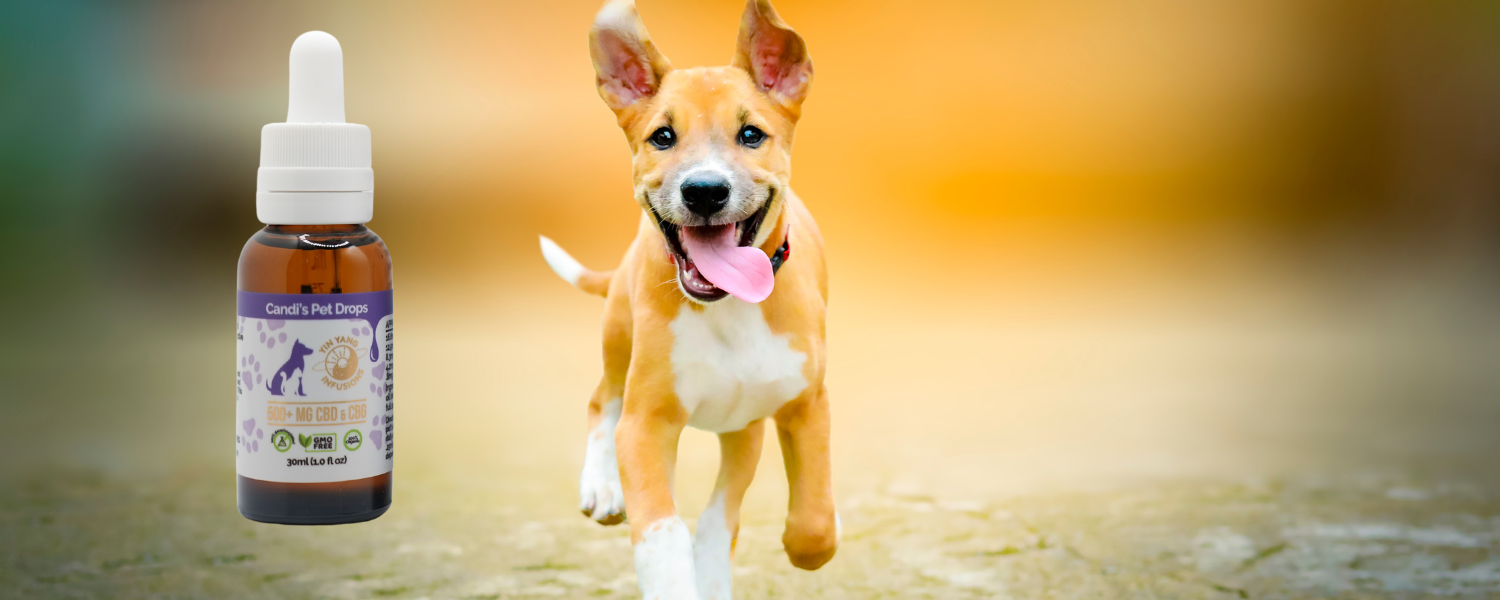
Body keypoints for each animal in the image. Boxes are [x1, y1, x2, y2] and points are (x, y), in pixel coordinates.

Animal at [540, 2, 840, 597]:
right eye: (662, 136)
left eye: (751, 134)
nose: (704, 191)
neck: (728, 305)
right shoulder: (647, 424)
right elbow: (663, 533)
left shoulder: (803, 406)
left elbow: (811, 526)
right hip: (619, 337)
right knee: (600, 399)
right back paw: (602, 486)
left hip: (743, 426)